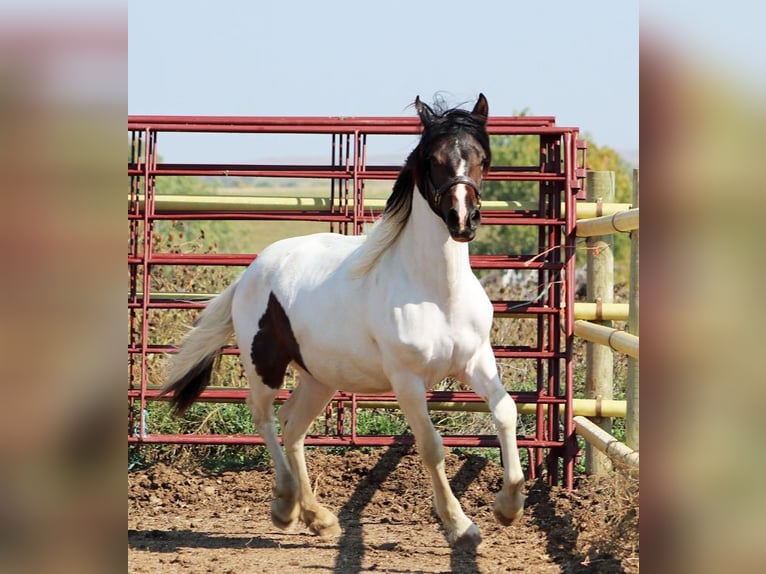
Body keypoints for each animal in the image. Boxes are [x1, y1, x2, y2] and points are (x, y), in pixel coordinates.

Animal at [160, 94, 526, 547]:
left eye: (482, 158)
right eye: (434, 159)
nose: (463, 219)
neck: (437, 292)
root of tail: (252, 271)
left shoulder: (476, 360)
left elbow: (506, 410)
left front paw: (508, 507)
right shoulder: (407, 380)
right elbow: (431, 445)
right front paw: (461, 527)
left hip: (320, 378)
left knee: (293, 426)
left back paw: (318, 517)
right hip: (265, 366)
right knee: (263, 416)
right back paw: (285, 506)